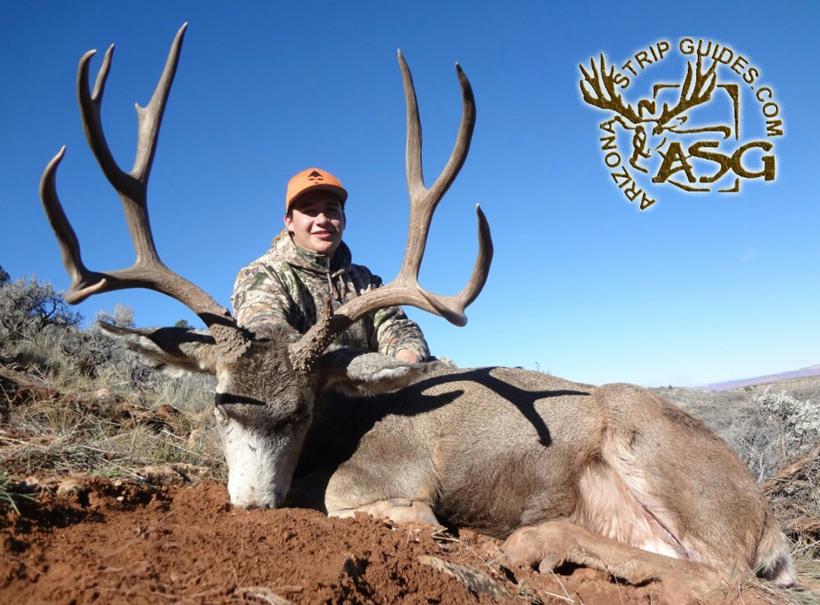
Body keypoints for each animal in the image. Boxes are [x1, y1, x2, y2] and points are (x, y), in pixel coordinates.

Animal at [40, 24, 795, 596]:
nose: (253, 507)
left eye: (303, 412)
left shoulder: (394, 469)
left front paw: (415, 522)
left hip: (654, 445)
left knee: (724, 575)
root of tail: (768, 520)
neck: (344, 420)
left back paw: (533, 542)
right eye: (221, 403)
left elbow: (343, 496)